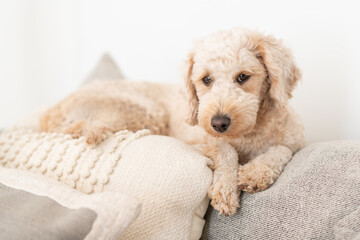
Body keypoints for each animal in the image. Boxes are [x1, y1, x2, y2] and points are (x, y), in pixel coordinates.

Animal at [39, 27, 304, 216]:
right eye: (206, 79)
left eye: (243, 77)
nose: (218, 123)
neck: (249, 132)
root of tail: (52, 113)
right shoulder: (196, 142)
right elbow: (225, 149)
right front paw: (225, 189)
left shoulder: (294, 142)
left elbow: (280, 150)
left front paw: (255, 173)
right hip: (143, 112)